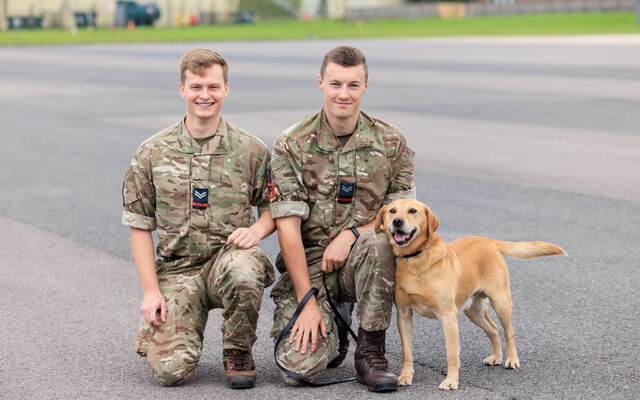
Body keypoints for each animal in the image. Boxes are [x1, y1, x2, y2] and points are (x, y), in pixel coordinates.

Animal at [376, 200, 564, 390]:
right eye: (392, 211)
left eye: (412, 211)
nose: (397, 221)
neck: (415, 259)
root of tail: (488, 240)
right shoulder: (404, 314)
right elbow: (407, 352)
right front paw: (405, 376)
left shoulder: (448, 316)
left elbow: (452, 354)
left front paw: (451, 381)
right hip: (473, 311)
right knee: (493, 329)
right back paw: (496, 357)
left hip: (500, 301)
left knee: (508, 331)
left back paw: (512, 359)